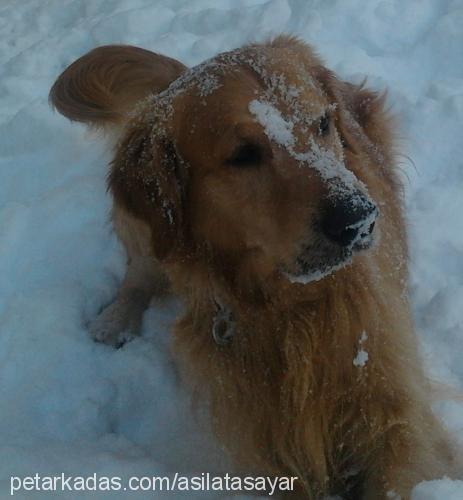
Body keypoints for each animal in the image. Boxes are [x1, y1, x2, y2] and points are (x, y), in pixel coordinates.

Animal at [49, 36, 462, 500]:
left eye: (322, 123)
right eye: (244, 155)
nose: (358, 220)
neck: (289, 309)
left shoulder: (400, 419)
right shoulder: (263, 447)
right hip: (143, 228)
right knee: (139, 273)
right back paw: (115, 319)